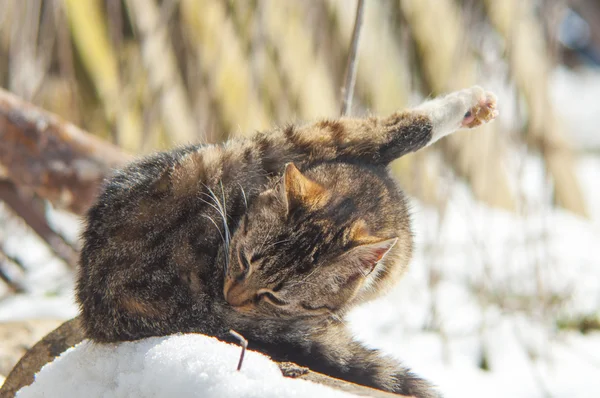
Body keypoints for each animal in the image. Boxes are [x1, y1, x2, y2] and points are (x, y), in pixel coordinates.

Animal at [75, 87, 496, 398]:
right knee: (385, 132)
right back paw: (468, 104)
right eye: (243, 260)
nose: (231, 297)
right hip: (244, 152)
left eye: (275, 297)